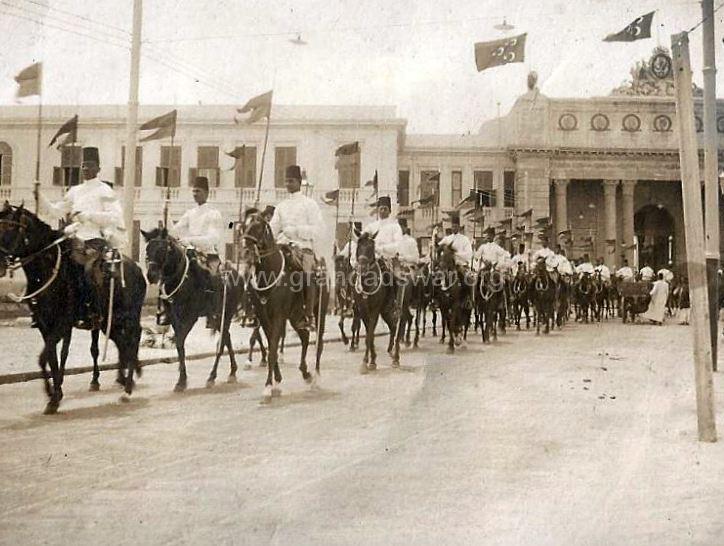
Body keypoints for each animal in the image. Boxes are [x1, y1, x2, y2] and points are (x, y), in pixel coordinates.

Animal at [0, 204, 146, 412]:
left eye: (10, 228)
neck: (47, 272)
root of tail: (137, 268)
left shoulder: (62, 324)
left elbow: (48, 356)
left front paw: (53, 396)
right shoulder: (45, 326)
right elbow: (52, 358)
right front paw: (55, 394)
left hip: (129, 316)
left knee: (133, 341)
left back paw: (127, 390)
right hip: (110, 321)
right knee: (122, 342)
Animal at [142, 227, 243, 388]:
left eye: (162, 248)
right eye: (148, 249)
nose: (151, 275)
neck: (181, 279)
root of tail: (237, 274)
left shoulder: (191, 317)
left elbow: (179, 342)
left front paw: (182, 380)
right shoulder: (175, 318)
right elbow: (179, 345)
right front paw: (181, 376)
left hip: (226, 315)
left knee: (221, 343)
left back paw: (212, 376)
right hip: (217, 318)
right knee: (226, 337)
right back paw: (232, 371)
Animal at [240, 209, 328, 396]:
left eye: (259, 226)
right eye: (244, 226)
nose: (247, 252)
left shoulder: (278, 315)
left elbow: (273, 348)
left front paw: (268, 386)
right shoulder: (263, 317)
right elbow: (269, 345)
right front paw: (276, 381)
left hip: (319, 313)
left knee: (318, 343)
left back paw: (316, 377)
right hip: (295, 317)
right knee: (304, 337)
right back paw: (305, 373)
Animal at [352, 232, 404, 372]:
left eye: (371, 247)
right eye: (359, 246)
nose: (362, 268)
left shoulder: (374, 310)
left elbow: (369, 335)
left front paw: (366, 362)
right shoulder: (363, 311)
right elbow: (370, 335)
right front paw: (372, 360)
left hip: (401, 307)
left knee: (400, 325)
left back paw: (396, 358)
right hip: (385, 310)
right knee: (393, 326)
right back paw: (391, 351)